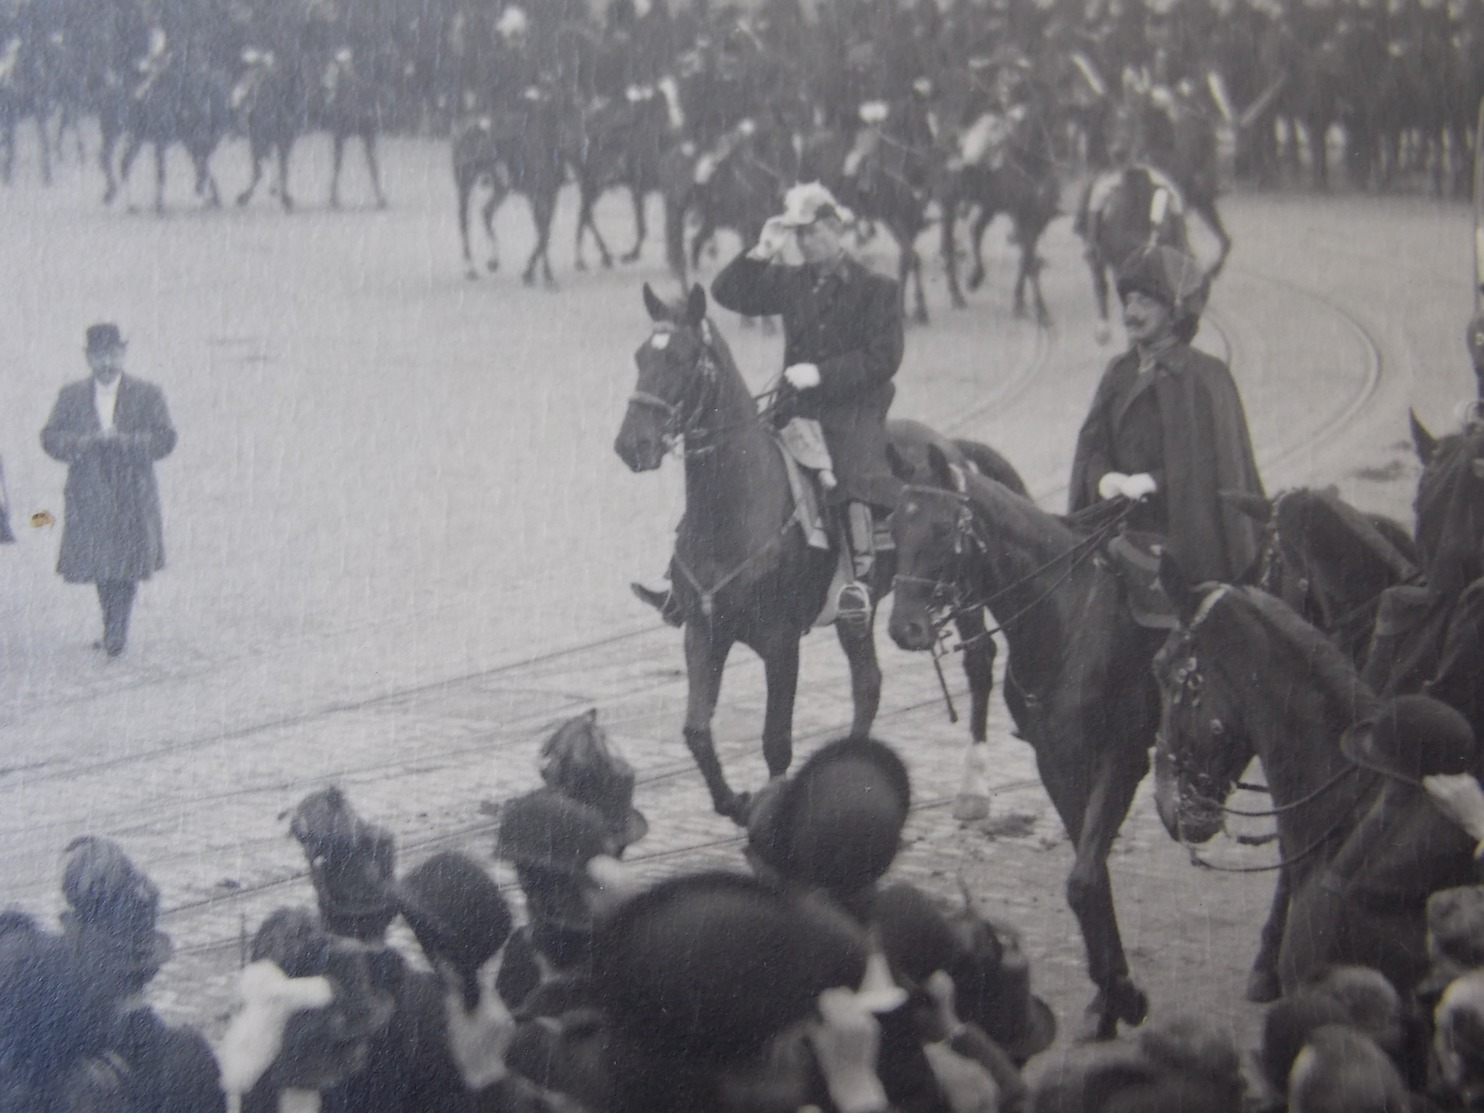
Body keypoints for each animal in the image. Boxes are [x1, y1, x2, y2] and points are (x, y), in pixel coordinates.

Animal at [611, 284, 1020, 830]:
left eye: (682, 358)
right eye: (640, 356)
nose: (631, 444)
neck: (734, 511)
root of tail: (950, 446)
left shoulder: (781, 643)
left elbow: (775, 741)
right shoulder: (703, 632)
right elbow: (696, 730)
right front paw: (734, 803)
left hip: (962, 591)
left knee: (978, 661)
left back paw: (973, 788)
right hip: (857, 613)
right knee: (868, 685)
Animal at [890, 442, 1157, 1038]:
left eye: (942, 528)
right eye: (894, 528)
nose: (904, 629)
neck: (1068, 617)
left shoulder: (1123, 756)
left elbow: (1084, 880)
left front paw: (1121, 993)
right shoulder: (1057, 763)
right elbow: (1092, 873)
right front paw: (1111, 993)